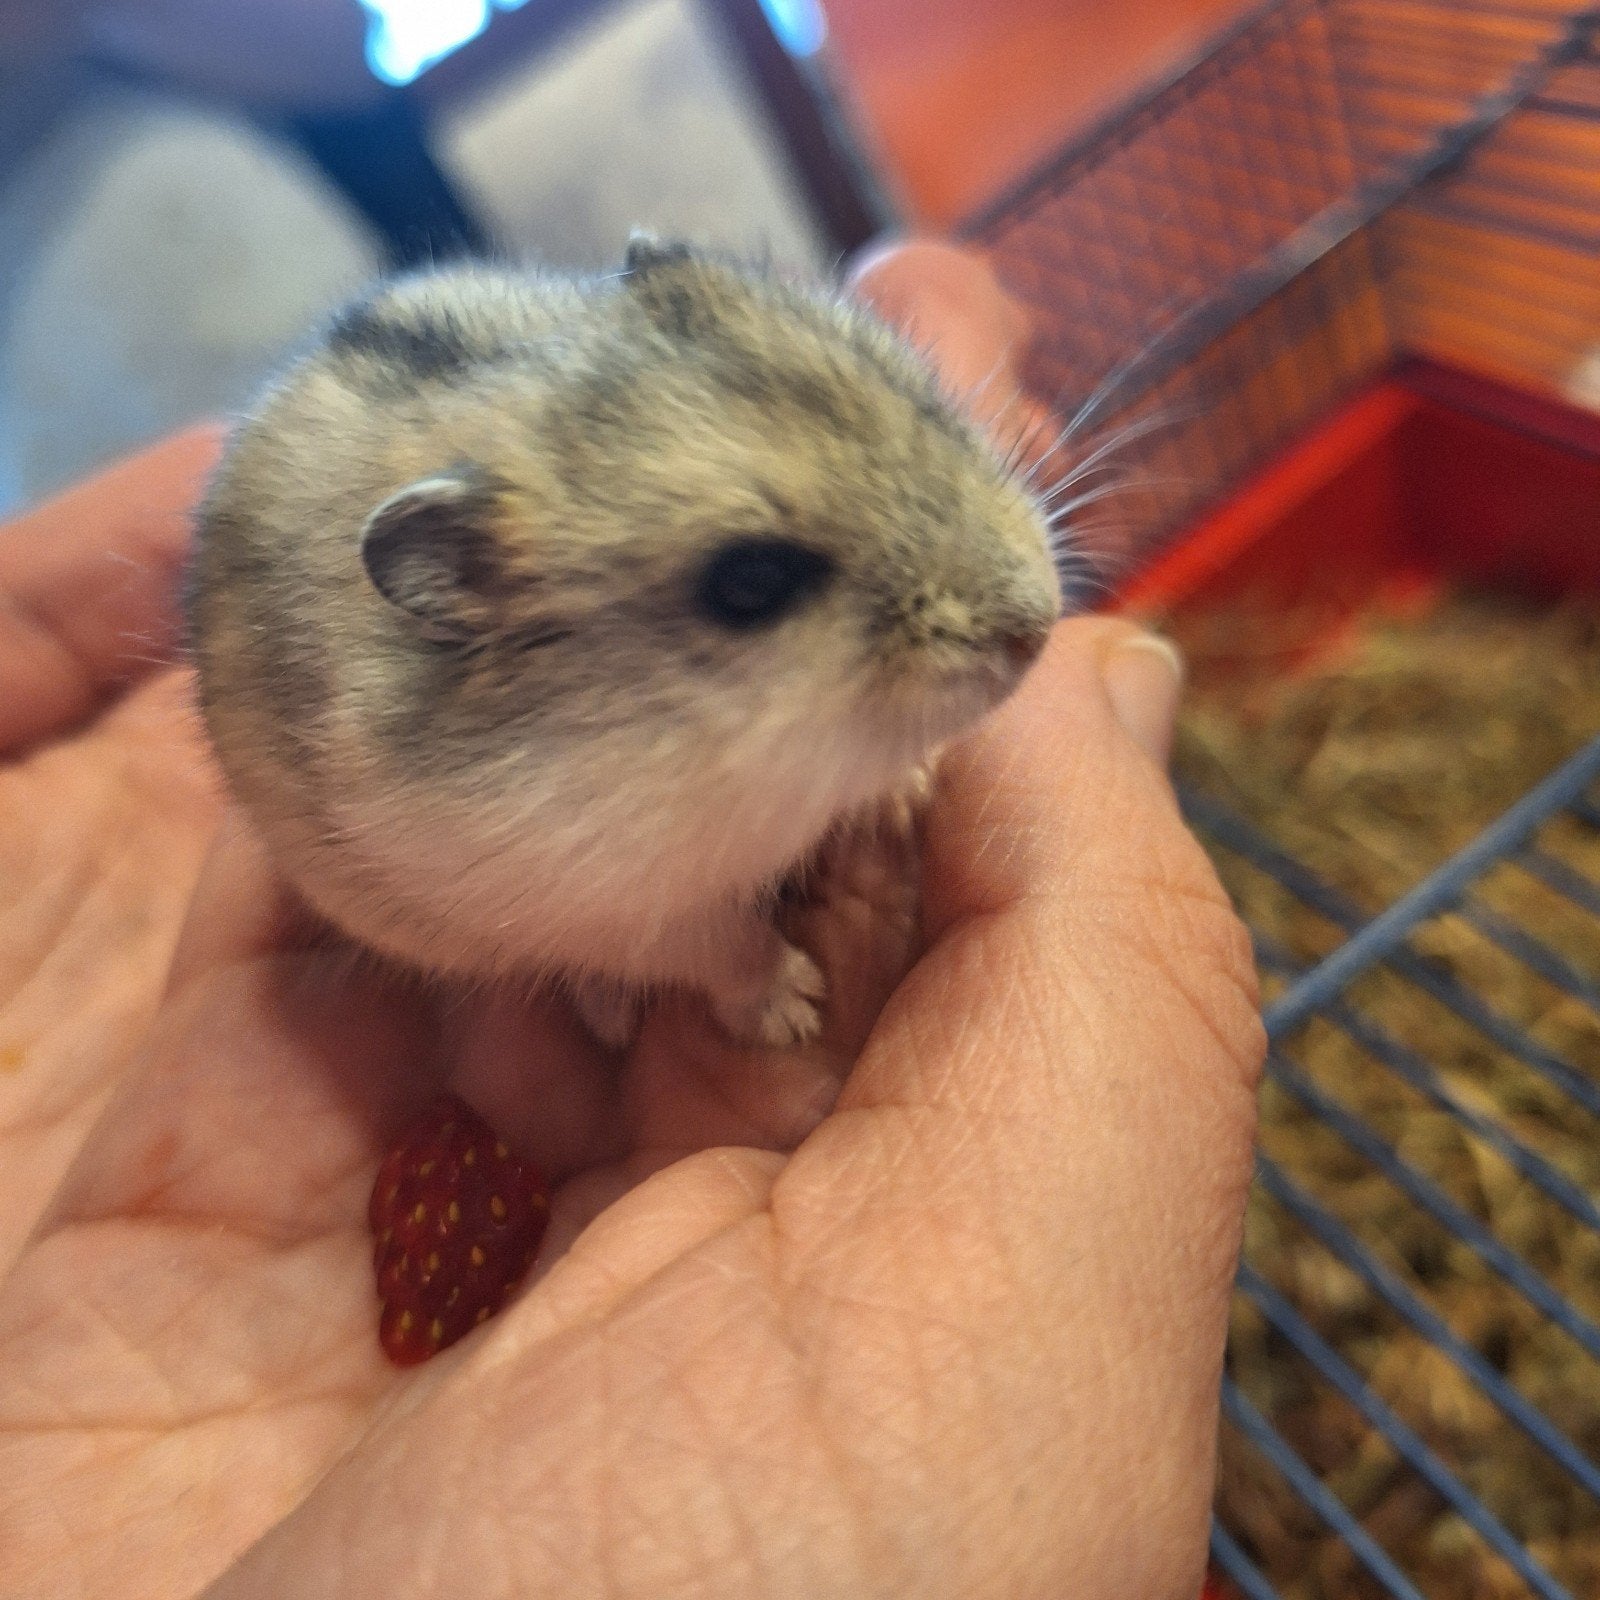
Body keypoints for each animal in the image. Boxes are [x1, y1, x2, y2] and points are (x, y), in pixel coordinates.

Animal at [188, 236, 1061, 1048]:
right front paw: (796, 1012)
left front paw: (912, 790)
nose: (1040, 626)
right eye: (751, 583)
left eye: (919, 399)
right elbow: (732, 952)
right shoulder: (626, 914)